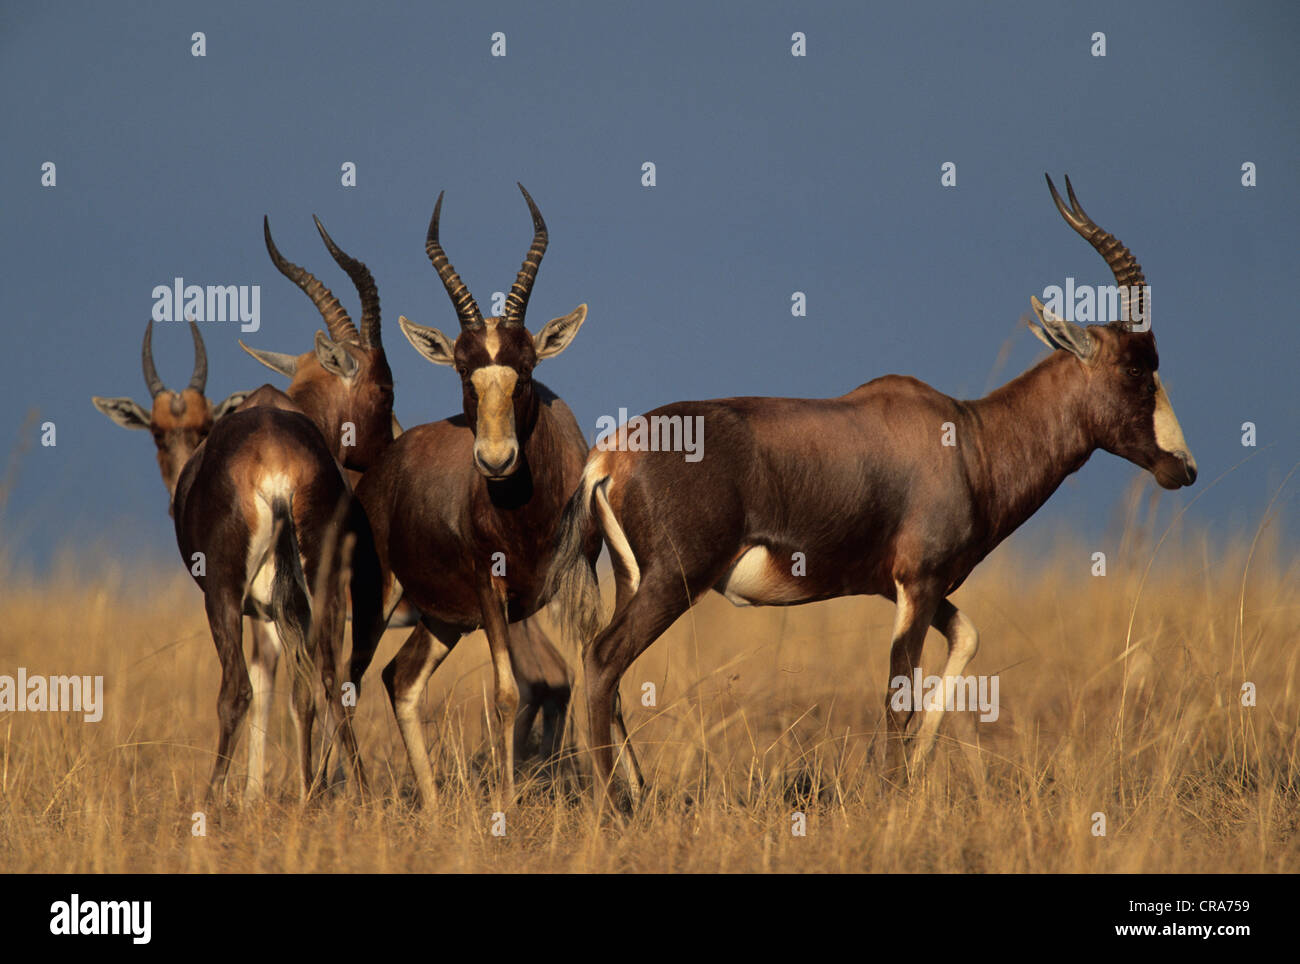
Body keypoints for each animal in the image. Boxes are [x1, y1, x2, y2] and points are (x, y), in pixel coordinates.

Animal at [94, 320, 379, 805]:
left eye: (201, 425)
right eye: (157, 432)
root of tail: (276, 463)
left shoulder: (251, 608)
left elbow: (258, 688)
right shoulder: (278, 611)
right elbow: (290, 689)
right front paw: (283, 790)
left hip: (223, 595)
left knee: (237, 689)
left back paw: (211, 797)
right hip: (322, 595)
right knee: (328, 681)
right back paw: (344, 789)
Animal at [356, 184, 595, 805]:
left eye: (526, 369)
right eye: (464, 372)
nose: (495, 460)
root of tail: (383, 467)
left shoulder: (576, 582)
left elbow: (592, 672)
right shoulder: (492, 591)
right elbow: (508, 693)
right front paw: (506, 809)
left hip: (443, 620)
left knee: (399, 678)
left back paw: (436, 808)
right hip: (376, 600)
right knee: (336, 679)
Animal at [546, 174, 1196, 800]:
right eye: (1137, 367)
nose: (1182, 468)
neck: (968, 436)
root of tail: (612, 453)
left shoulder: (902, 586)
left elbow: (967, 640)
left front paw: (913, 774)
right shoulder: (919, 582)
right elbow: (897, 694)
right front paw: (891, 793)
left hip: (633, 580)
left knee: (610, 673)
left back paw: (638, 792)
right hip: (673, 580)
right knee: (603, 660)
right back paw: (616, 804)